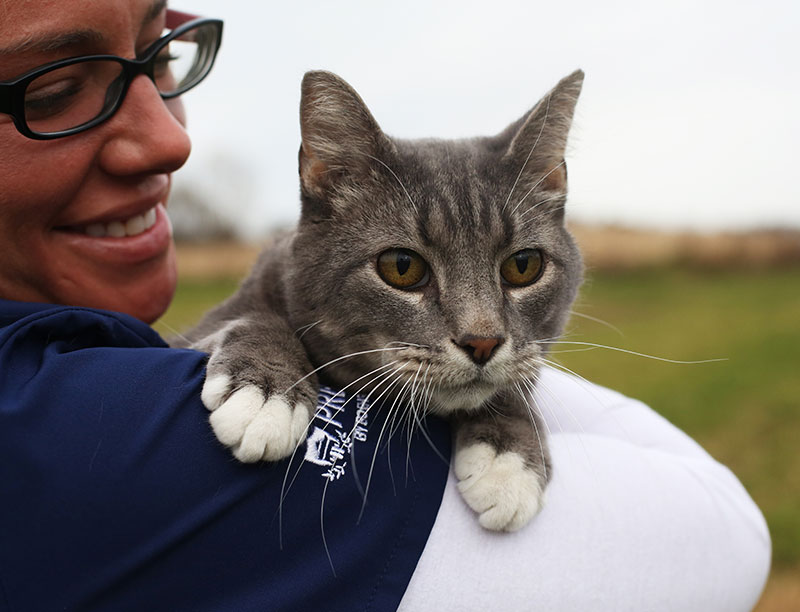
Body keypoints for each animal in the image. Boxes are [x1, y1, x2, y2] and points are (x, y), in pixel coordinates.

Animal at [175, 70, 584, 532]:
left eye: (523, 265)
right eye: (401, 267)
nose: (482, 342)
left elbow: (518, 376)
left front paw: (508, 465)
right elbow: (253, 318)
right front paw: (265, 396)